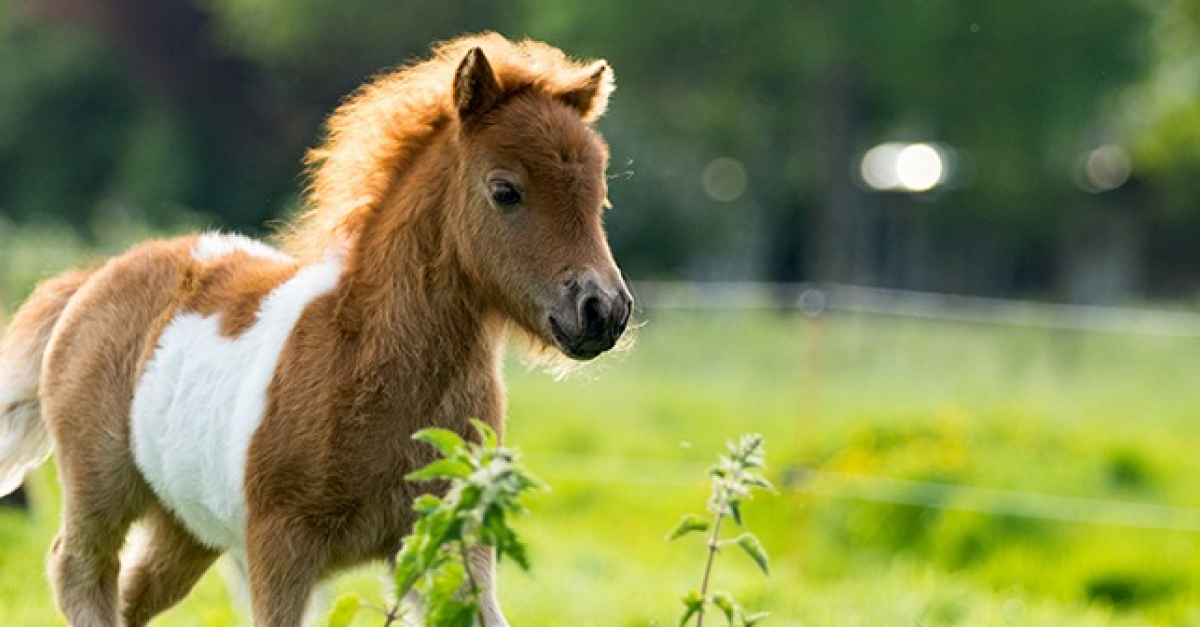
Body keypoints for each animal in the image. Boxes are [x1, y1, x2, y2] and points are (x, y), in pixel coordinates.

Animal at [0, 34, 633, 624]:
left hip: (188, 526)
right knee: (78, 568)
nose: (603, 310)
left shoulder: (451, 530)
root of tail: (94, 277)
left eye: (600, 194)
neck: (364, 358)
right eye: (505, 190)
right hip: (100, 484)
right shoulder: (279, 545)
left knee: (133, 594)